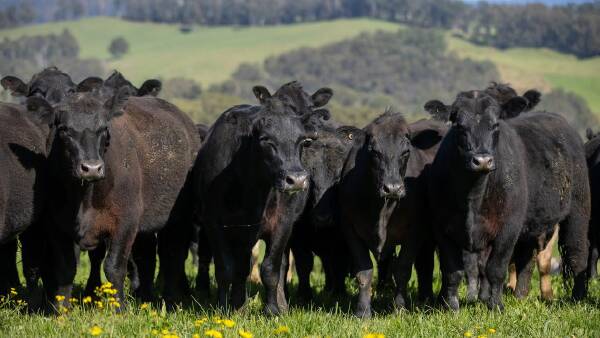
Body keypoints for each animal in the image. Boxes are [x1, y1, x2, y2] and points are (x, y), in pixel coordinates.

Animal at [26, 89, 199, 308]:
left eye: (103, 128)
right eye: (64, 129)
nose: (91, 168)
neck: (85, 198)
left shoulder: (125, 222)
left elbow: (114, 268)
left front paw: (120, 309)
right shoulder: (55, 224)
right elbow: (65, 268)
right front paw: (61, 310)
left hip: (178, 218)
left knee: (172, 254)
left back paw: (172, 299)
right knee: (146, 257)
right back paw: (145, 297)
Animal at [192, 82, 332, 314]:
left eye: (301, 141)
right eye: (266, 140)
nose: (296, 179)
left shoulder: (283, 223)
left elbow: (271, 269)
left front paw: (273, 309)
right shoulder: (214, 224)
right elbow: (225, 269)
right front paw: (224, 307)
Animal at [338, 112, 446, 318]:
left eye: (406, 152)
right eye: (373, 151)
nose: (393, 188)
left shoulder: (415, 232)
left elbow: (402, 270)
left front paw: (400, 309)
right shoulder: (350, 229)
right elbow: (364, 271)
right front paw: (363, 311)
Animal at [426, 91, 592, 310]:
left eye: (496, 124)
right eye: (459, 125)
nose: (482, 161)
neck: (473, 196)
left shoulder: (508, 228)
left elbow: (495, 269)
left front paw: (495, 306)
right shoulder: (442, 228)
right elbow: (453, 271)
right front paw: (451, 307)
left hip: (578, 211)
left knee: (577, 253)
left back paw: (577, 298)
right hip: (531, 224)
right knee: (526, 259)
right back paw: (520, 295)